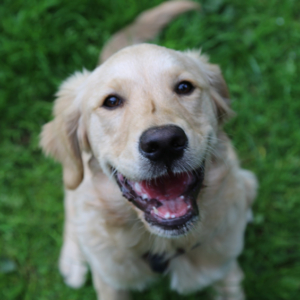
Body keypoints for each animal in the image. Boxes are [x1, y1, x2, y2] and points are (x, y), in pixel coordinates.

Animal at [39, 1, 258, 298]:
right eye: (111, 101)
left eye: (185, 87)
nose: (163, 143)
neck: (163, 247)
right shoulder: (111, 282)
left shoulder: (225, 273)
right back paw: (72, 262)